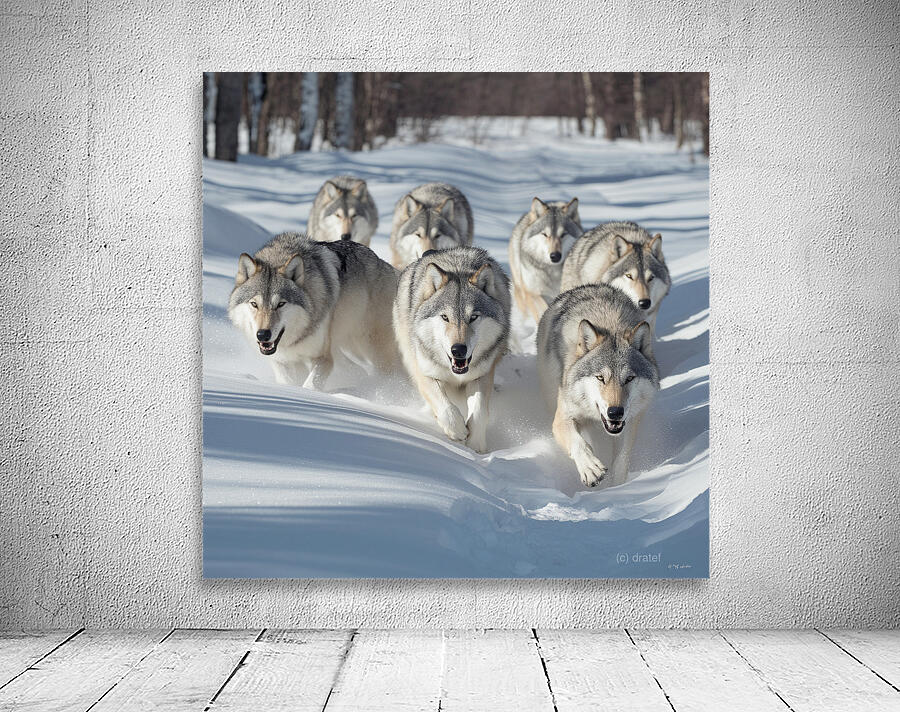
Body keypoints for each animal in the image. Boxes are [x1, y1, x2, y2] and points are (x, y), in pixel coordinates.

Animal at [229, 232, 398, 389]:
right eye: (254, 304)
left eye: (281, 304)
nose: (263, 334)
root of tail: (389, 268)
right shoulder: (283, 361)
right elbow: (289, 382)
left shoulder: (323, 358)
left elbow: (309, 385)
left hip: (370, 349)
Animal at [393, 246, 510, 452]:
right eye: (445, 317)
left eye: (473, 317)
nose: (458, 350)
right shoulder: (425, 373)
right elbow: (446, 407)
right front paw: (457, 431)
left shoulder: (481, 376)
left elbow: (480, 411)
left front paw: (476, 445)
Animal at [538, 283, 659, 488]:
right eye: (600, 378)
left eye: (629, 378)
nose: (615, 412)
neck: (610, 322)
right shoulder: (562, 419)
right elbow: (579, 443)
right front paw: (590, 469)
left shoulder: (629, 423)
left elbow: (621, 460)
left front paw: (616, 489)